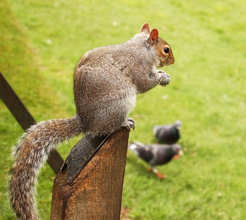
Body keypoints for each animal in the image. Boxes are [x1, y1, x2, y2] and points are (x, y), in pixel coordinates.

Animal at [9, 23, 175, 219]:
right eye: (166, 49)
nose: (173, 61)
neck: (142, 48)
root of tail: (85, 122)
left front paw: (162, 73)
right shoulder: (137, 66)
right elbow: (144, 83)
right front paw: (161, 77)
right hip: (119, 104)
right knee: (108, 127)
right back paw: (124, 122)